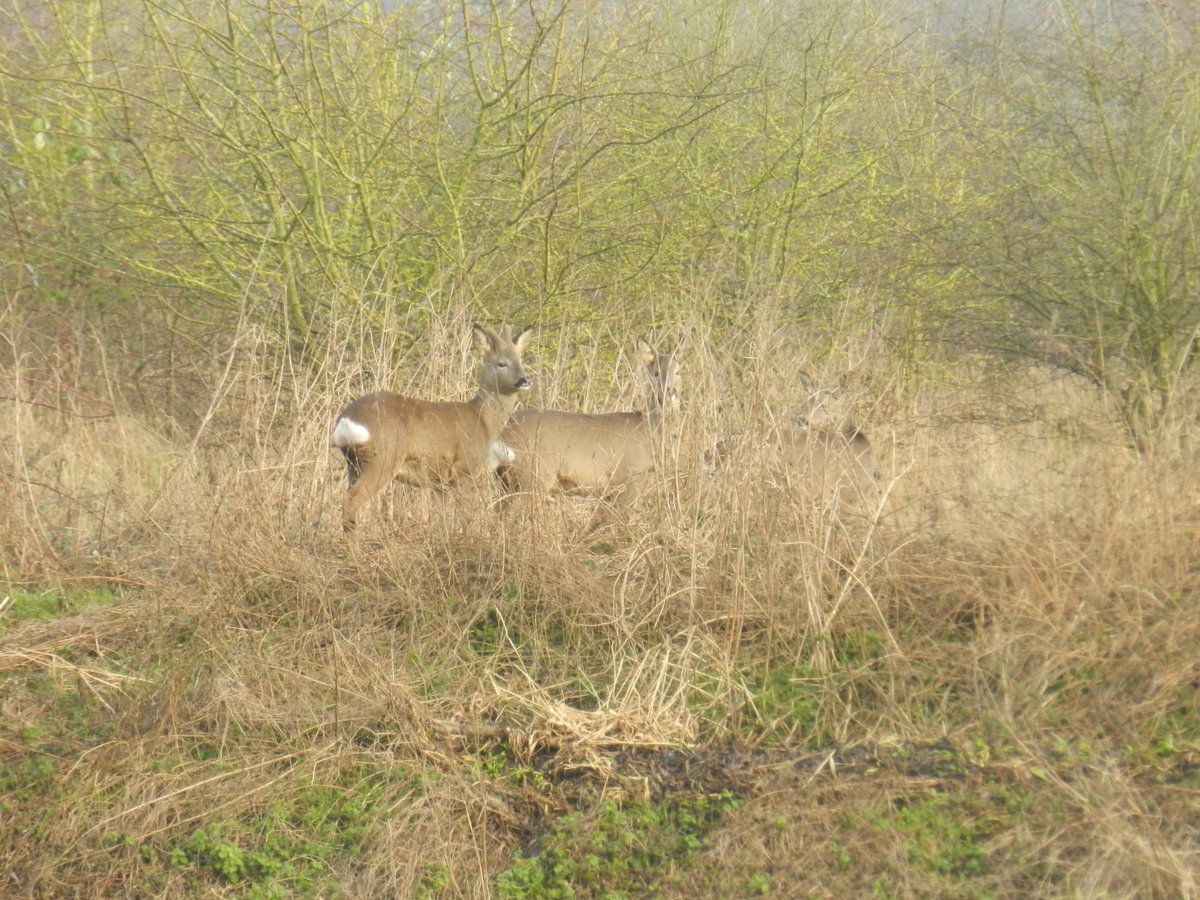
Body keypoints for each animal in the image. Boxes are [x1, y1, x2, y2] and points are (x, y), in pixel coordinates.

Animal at [332, 323, 534, 532]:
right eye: (501, 363)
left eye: (520, 360)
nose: (524, 380)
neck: (484, 420)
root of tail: (346, 420)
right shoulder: (464, 469)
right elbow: (465, 513)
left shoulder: (439, 482)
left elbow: (439, 518)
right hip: (382, 459)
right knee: (352, 500)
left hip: (353, 463)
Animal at [493, 336, 682, 511]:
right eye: (655, 373)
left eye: (678, 372)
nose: (667, 391)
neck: (651, 429)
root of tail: (503, 432)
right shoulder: (632, 477)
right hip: (533, 474)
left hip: (506, 480)